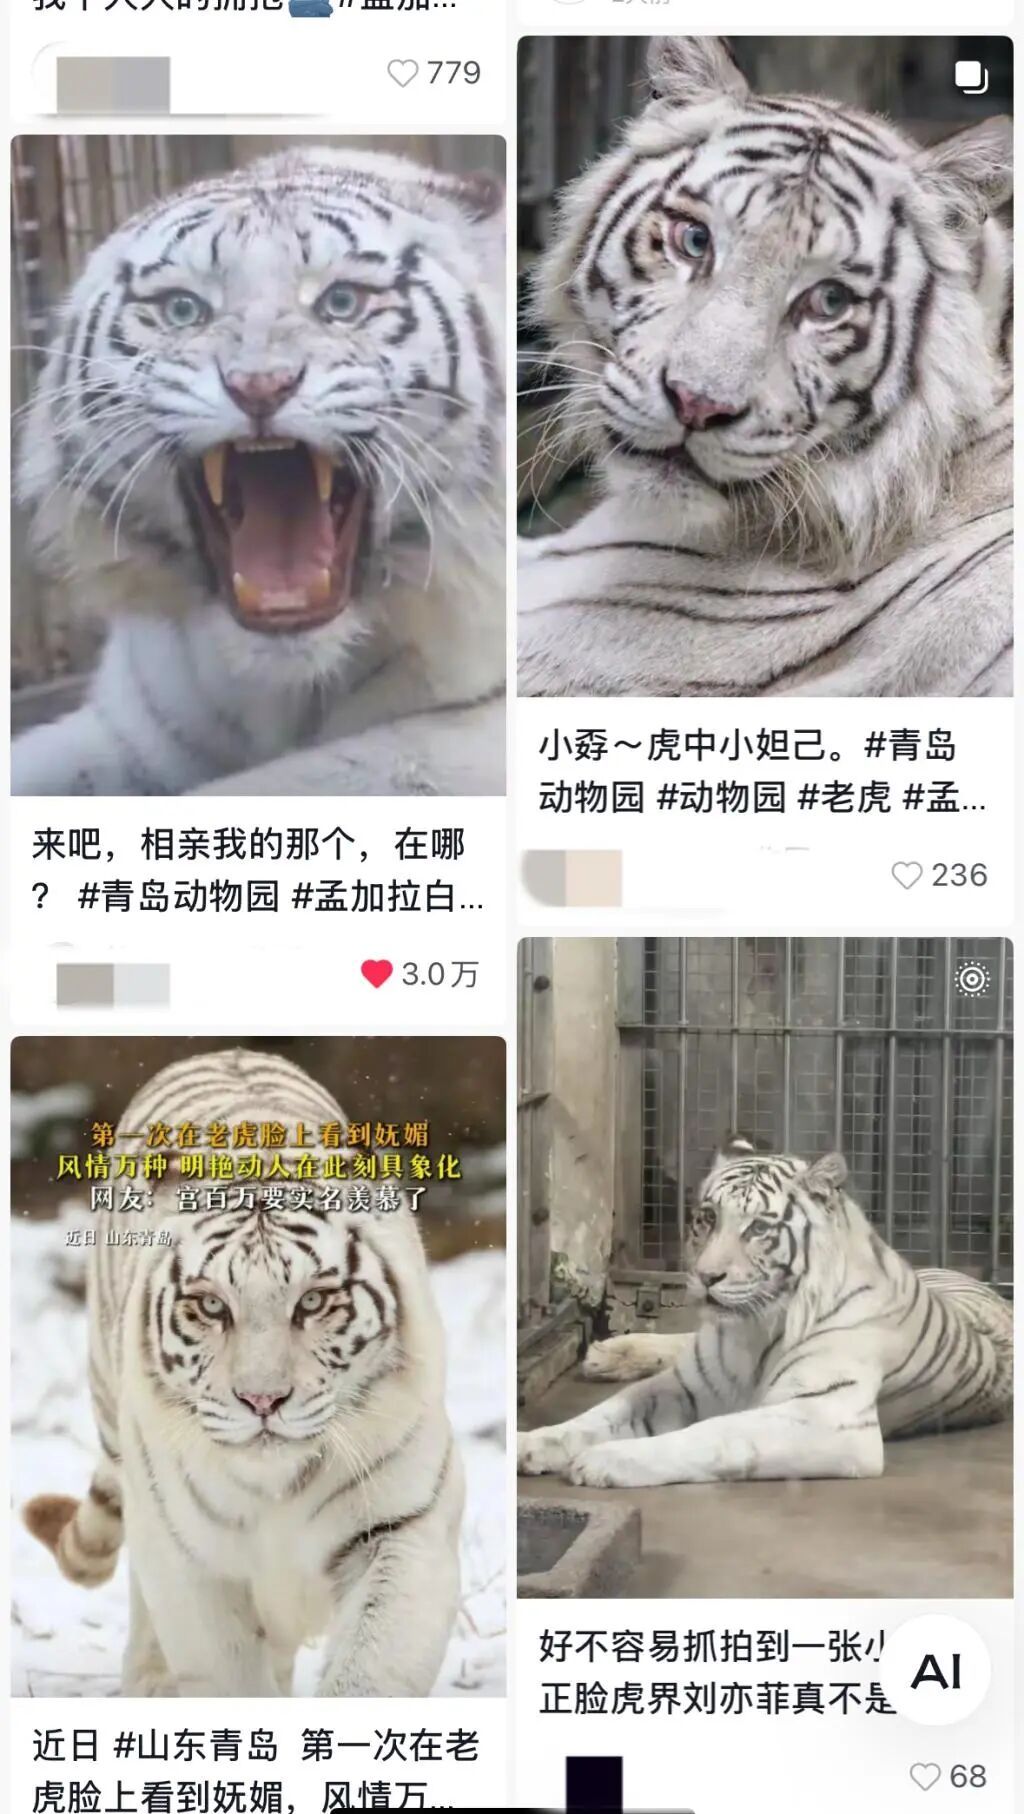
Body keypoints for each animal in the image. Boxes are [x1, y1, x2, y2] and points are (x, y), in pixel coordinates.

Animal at [23, 1049, 464, 1696]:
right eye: (211, 1306)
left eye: (313, 1301)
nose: (263, 1401)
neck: (278, 1486)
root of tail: (227, 1052)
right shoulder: (189, 1560)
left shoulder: (403, 1526)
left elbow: (370, 1669)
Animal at [517, 1139, 1013, 1489]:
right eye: (706, 1218)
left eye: (757, 1228)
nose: (705, 1276)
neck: (752, 1329)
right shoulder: (685, 1384)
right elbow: (602, 1415)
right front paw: (534, 1443)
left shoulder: (829, 1418)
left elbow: (714, 1434)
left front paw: (606, 1460)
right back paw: (607, 1353)